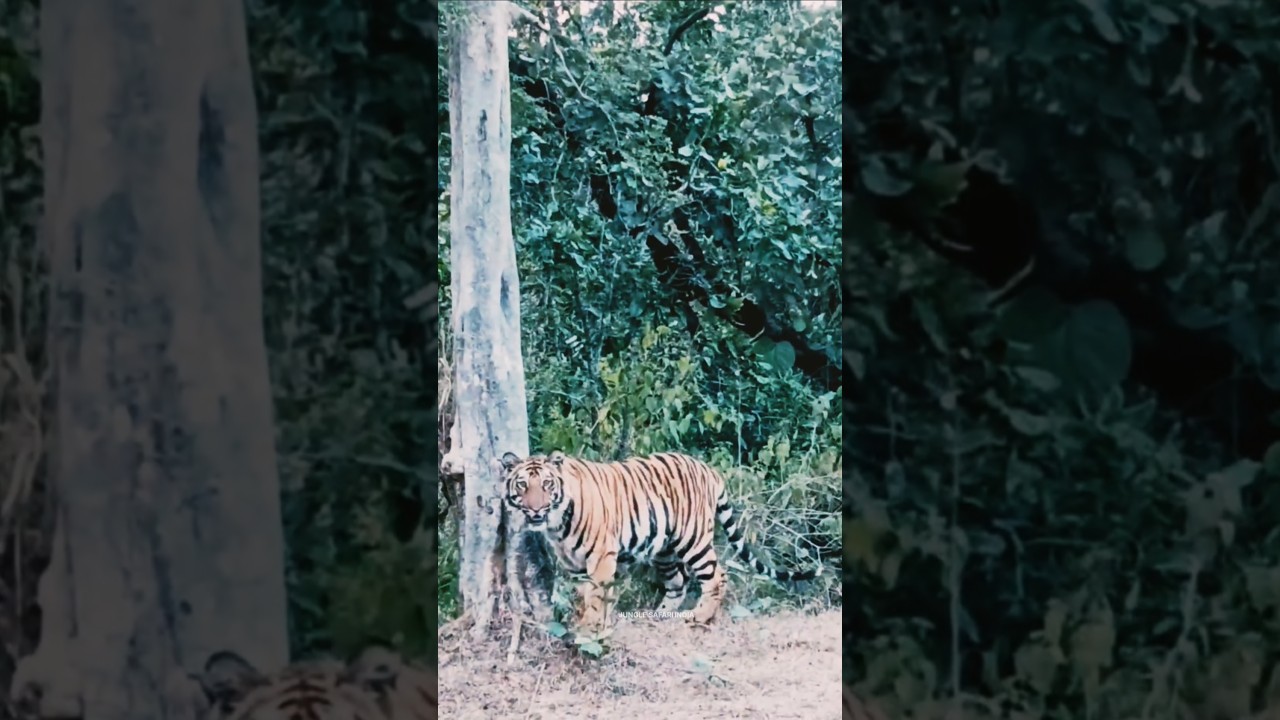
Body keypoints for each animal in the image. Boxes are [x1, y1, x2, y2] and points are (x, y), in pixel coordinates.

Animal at [500, 450, 822, 629]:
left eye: (547, 484)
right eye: (523, 485)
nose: (536, 509)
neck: (557, 524)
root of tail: (709, 470)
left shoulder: (602, 556)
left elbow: (596, 595)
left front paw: (589, 627)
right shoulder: (575, 564)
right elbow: (588, 595)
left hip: (693, 540)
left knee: (717, 575)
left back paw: (699, 617)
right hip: (664, 549)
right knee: (679, 582)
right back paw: (658, 615)